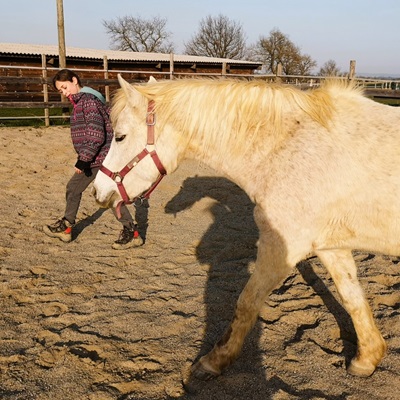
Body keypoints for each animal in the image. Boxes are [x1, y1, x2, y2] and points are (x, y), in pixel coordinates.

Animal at [94, 76, 400, 382]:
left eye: (120, 136)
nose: (99, 192)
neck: (289, 146)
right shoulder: (331, 247)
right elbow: (352, 298)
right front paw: (366, 359)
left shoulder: (282, 248)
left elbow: (247, 302)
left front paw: (214, 360)